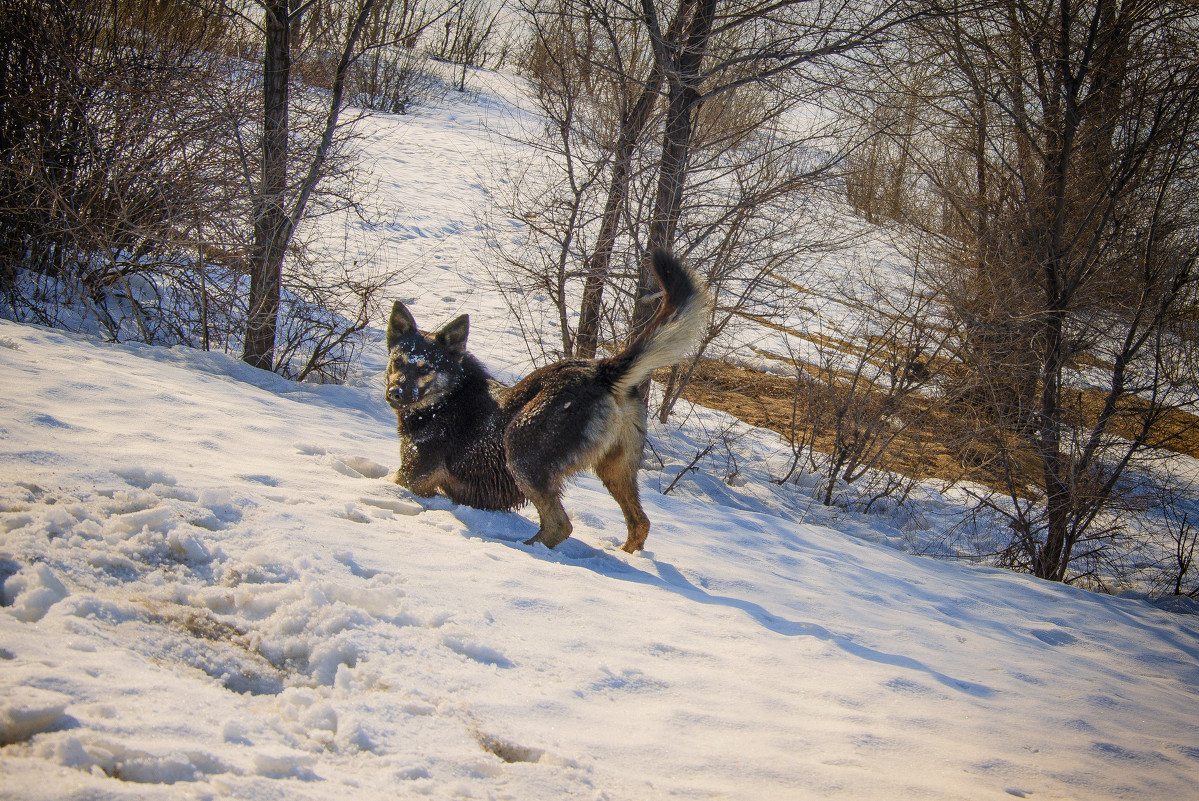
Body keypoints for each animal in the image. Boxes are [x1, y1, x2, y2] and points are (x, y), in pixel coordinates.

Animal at [383, 250, 705, 551]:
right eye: (398, 362)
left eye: (425, 368)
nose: (395, 393)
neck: (444, 399)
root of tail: (602, 371)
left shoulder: (410, 479)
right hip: (615, 469)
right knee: (640, 523)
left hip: (521, 451)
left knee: (560, 525)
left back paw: (525, 549)